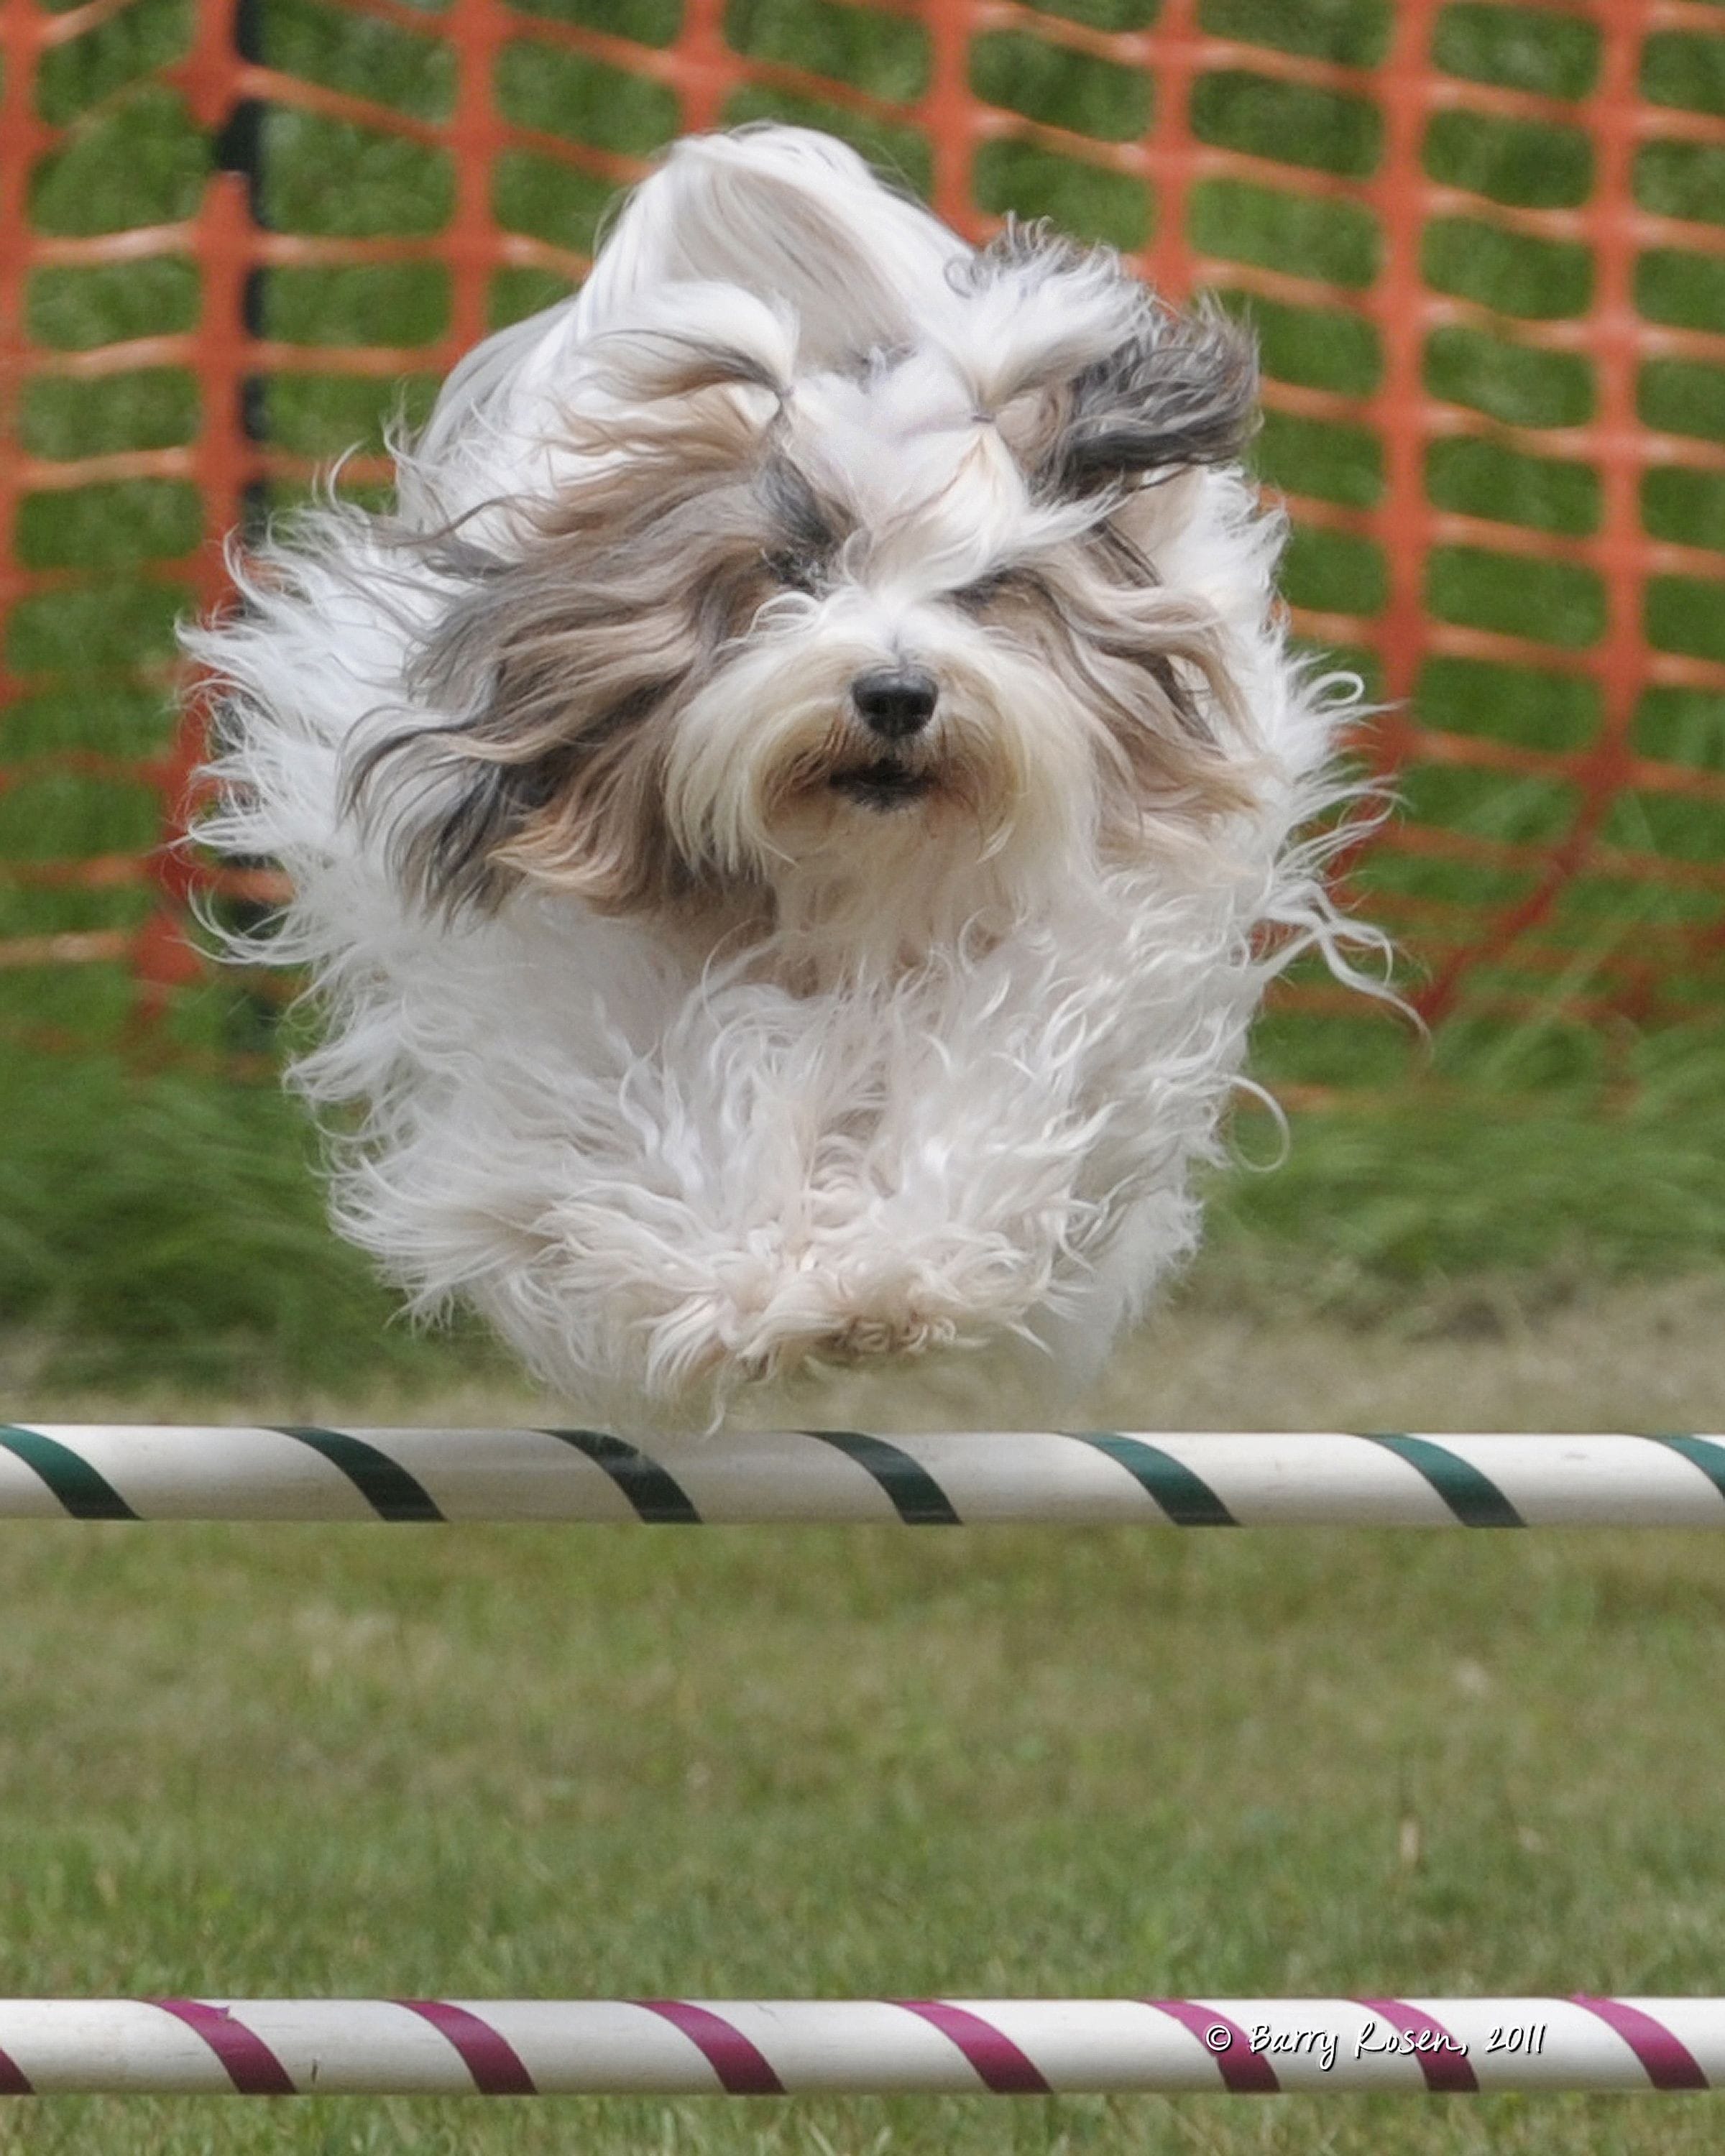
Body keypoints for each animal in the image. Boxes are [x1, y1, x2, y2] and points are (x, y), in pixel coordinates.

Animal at [192, 126, 1371, 1423]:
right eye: (791, 569)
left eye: (986, 588)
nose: (898, 692)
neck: (848, 894)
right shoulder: (592, 1008)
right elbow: (689, 1114)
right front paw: (749, 1280)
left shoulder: (1063, 974)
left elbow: (976, 1094)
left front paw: (890, 1274)